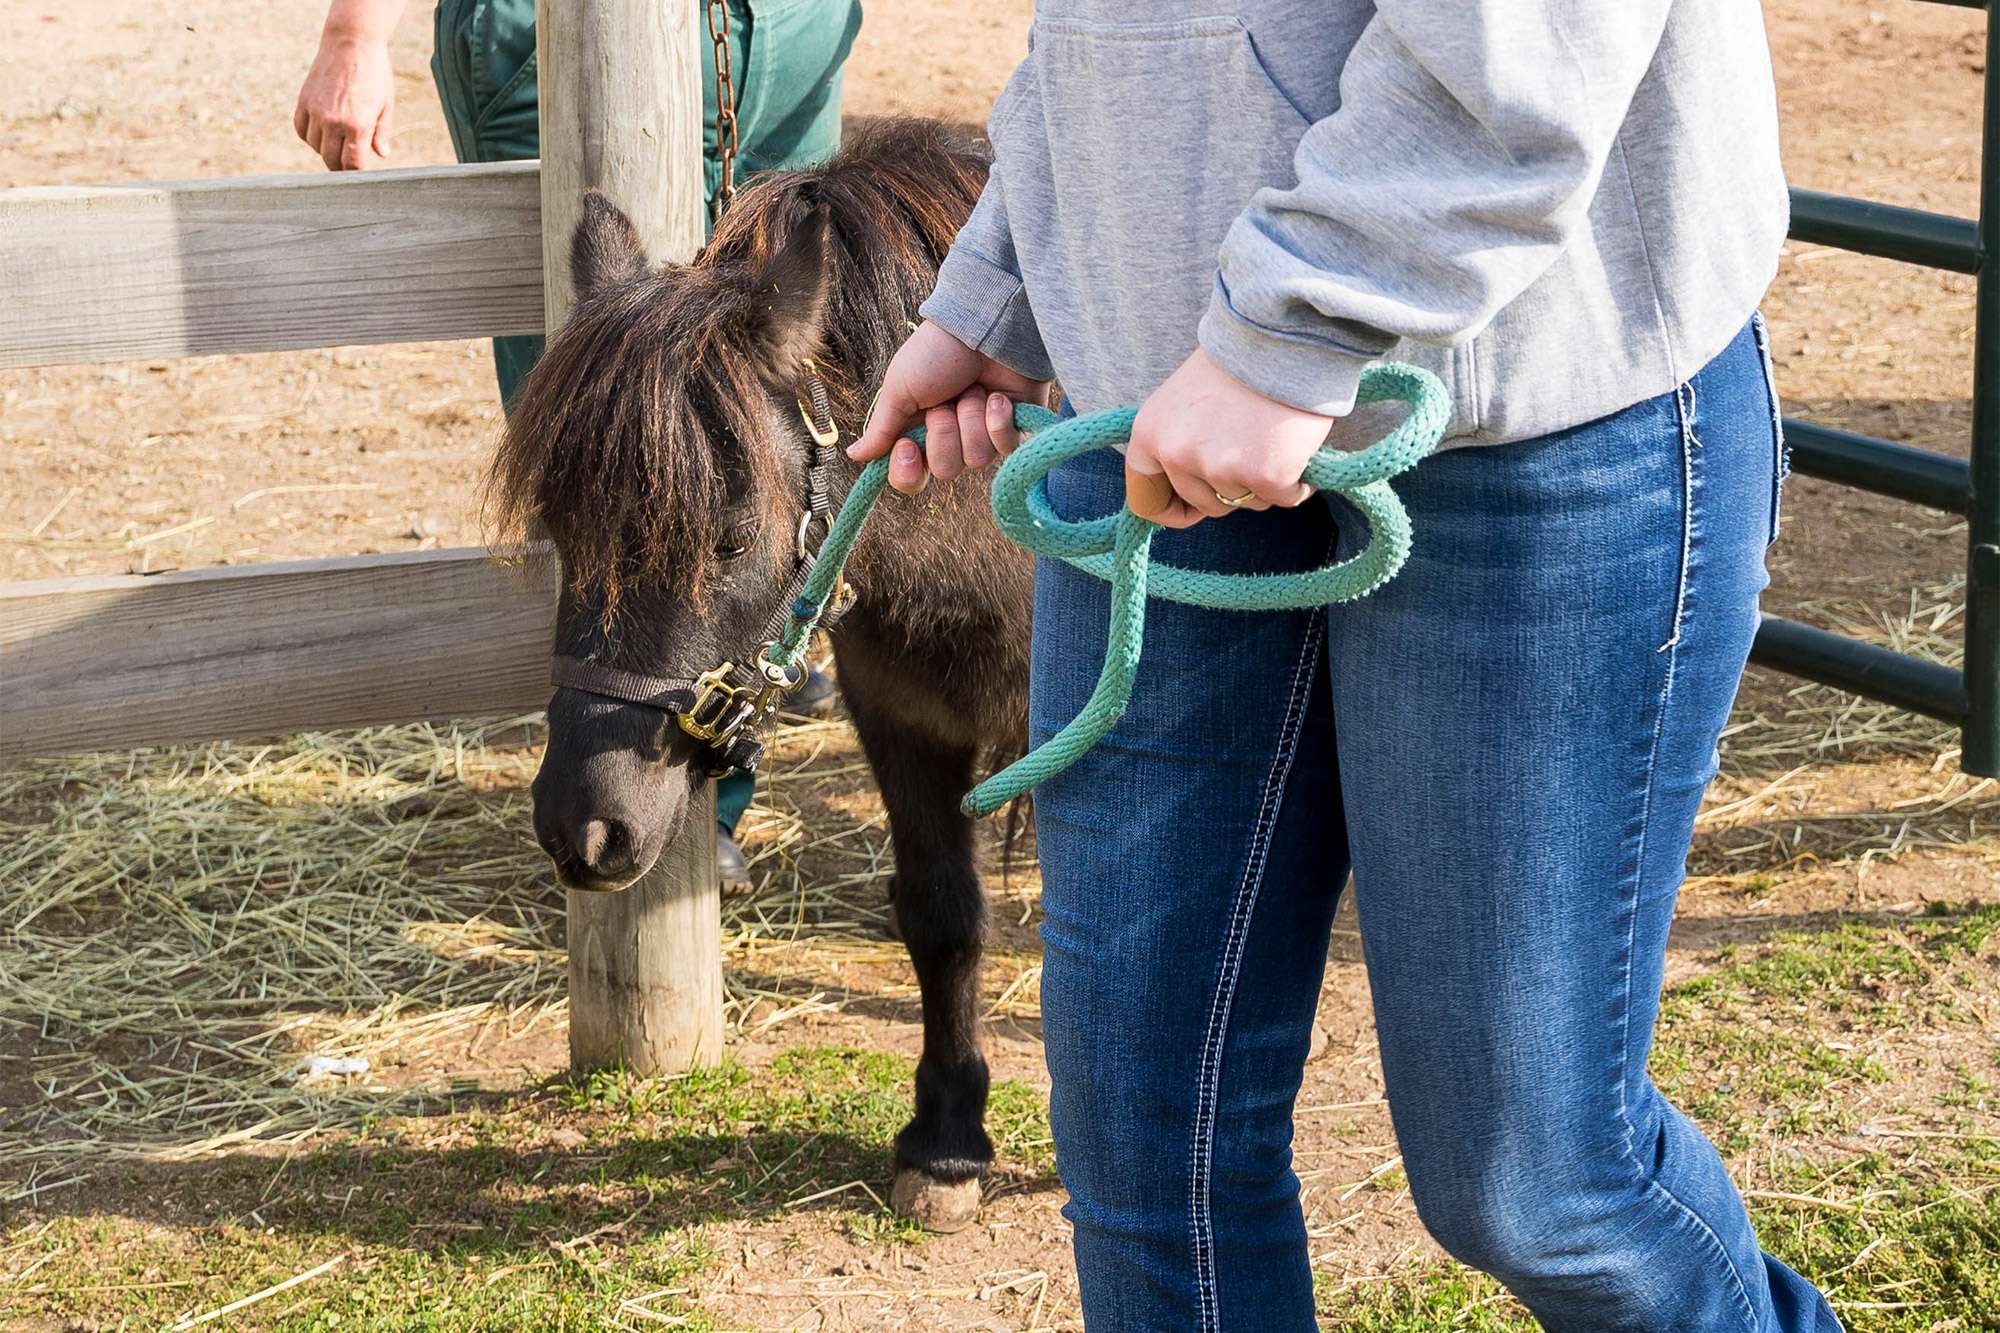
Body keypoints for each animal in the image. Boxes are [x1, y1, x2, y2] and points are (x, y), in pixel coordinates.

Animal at [488, 122, 1032, 1224]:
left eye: (731, 539)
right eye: (562, 530)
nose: (584, 827)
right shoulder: (900, 714)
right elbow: (942, 912)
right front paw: (947, 1139)